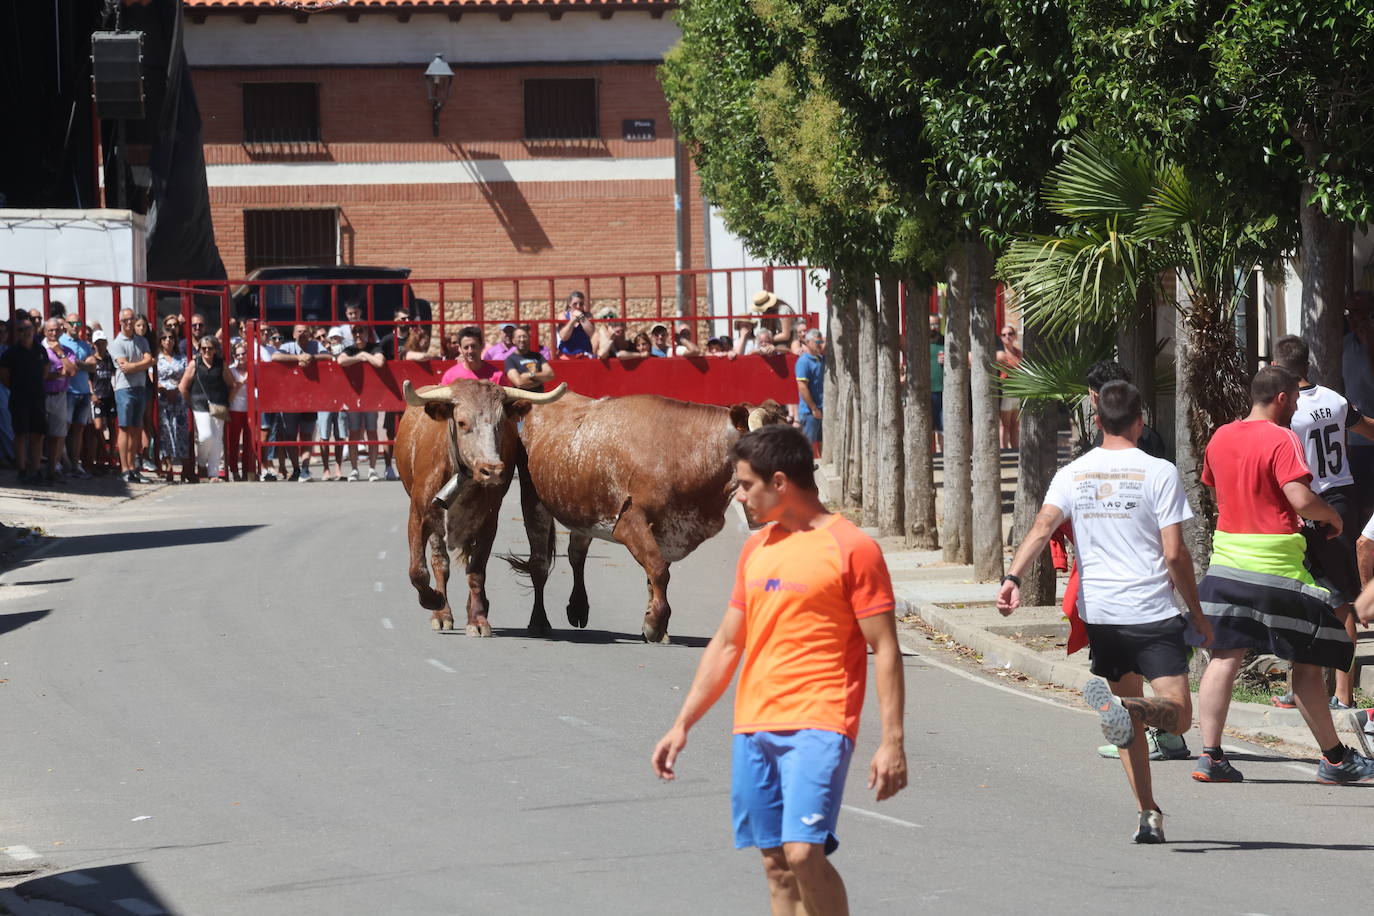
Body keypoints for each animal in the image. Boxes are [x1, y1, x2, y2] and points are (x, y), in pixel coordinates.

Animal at [395, 379, 566, 637]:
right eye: (462, 422)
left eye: (500, 424)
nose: (492, 469)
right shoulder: (418, 517)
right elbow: (418, 570)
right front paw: (435, 602)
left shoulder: (488, 522)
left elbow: (476, 572)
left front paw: (477, 619)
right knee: (439, 562)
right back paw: (442, 613)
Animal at [511, 390, 785, 642]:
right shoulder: (630, 523)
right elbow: (659, 571)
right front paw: (654, 623)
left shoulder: (669, 529)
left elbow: (654, 577)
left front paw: (655, 625)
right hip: (533, 502)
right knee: (539, 563)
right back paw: (539, 621)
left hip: (582, 510)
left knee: (576, 555)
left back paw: (578, 607)